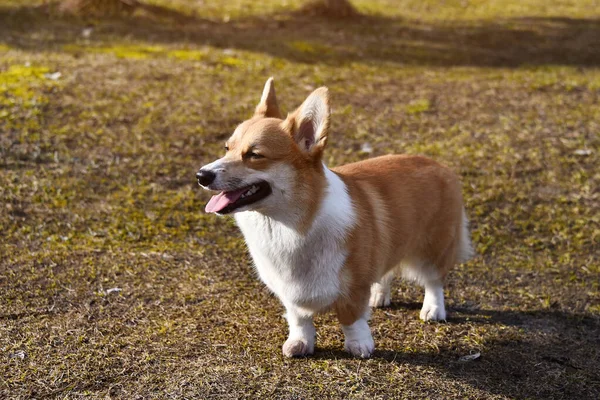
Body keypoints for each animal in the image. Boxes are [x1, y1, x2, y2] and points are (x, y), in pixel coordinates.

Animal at [198, 77, 474, 356]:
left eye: (255, 155)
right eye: (227, 148)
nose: (201, 175)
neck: (288, 225)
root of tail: (440, 165)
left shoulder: (353, 287)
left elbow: (351, 318)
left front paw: (359, 345)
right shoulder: (289, 293)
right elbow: (299, 319)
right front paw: (300, 343)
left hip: (434, 248)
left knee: (434, 281)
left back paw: (433, 309)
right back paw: (379, 294)